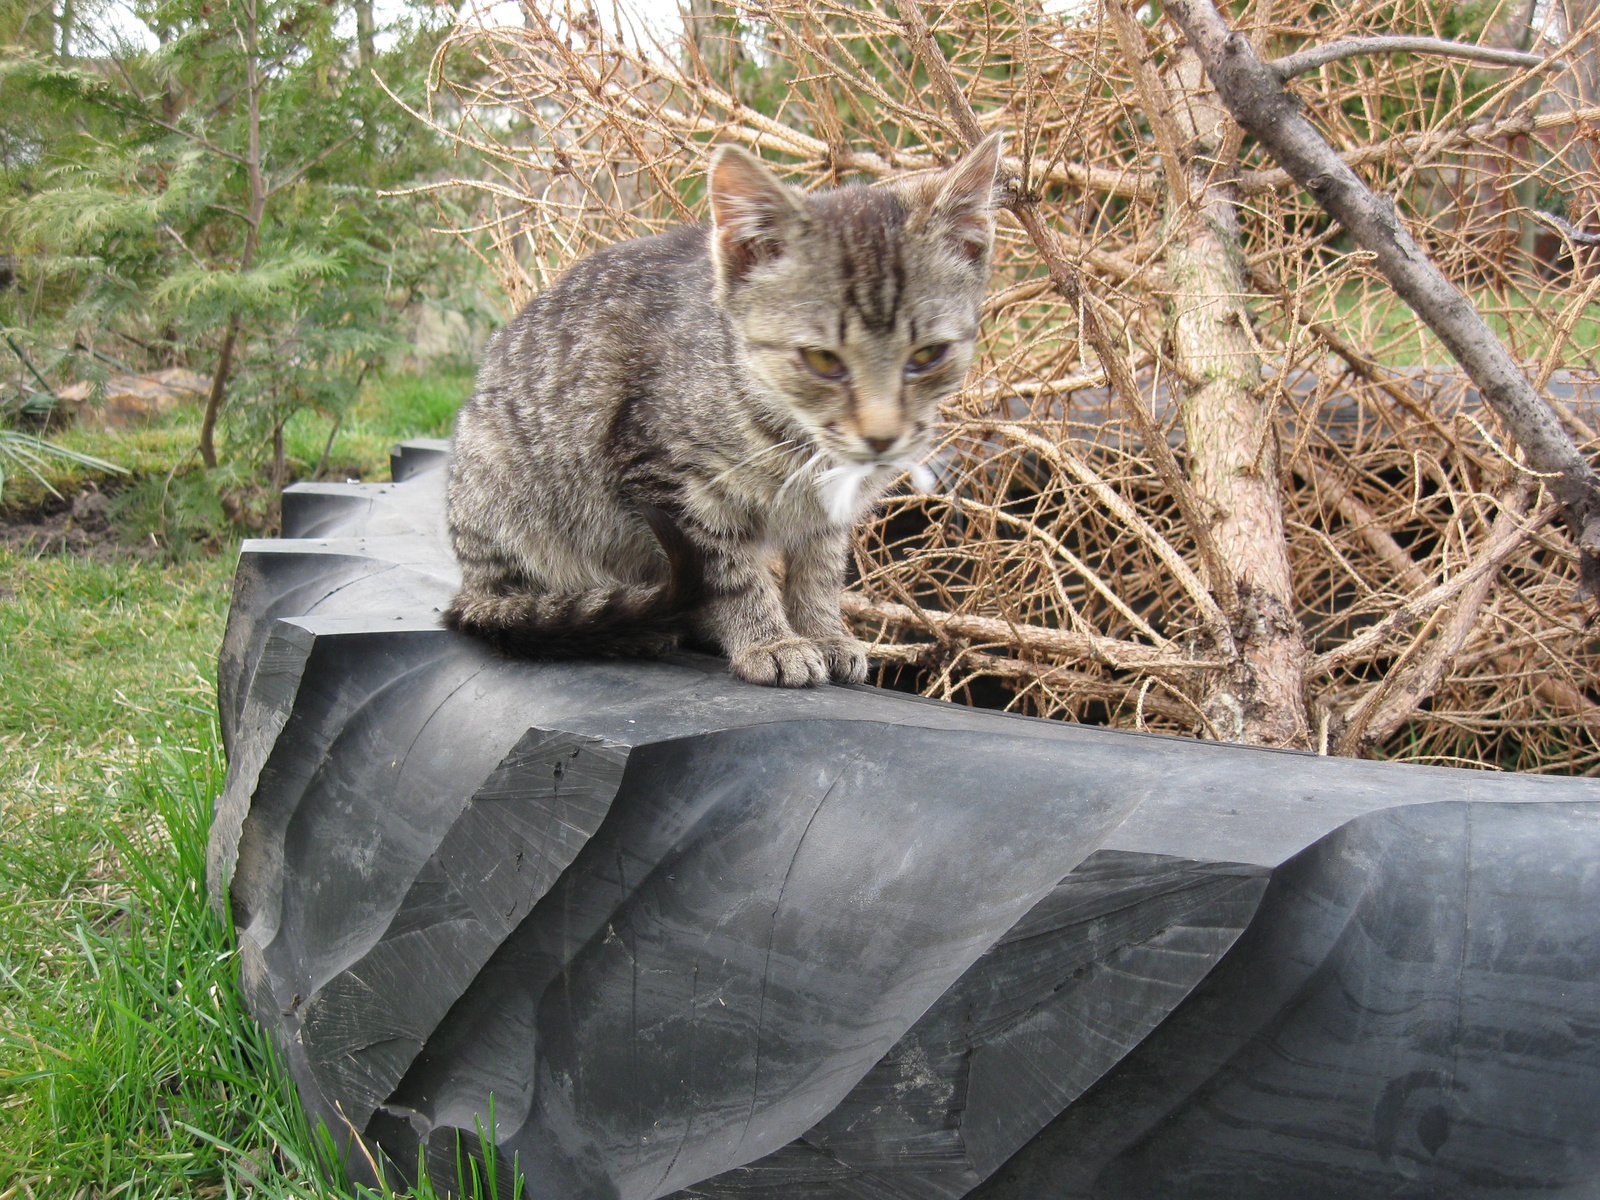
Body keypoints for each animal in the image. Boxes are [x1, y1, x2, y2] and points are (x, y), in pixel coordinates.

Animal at [448, 133, 998, 684]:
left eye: (927, 355)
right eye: (822, 360)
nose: (882, 437)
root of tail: (471, 585)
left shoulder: (828, 516)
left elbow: (819, 569)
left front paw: (823, 632)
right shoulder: (671, 479)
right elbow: (729, 572)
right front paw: (769, 641)